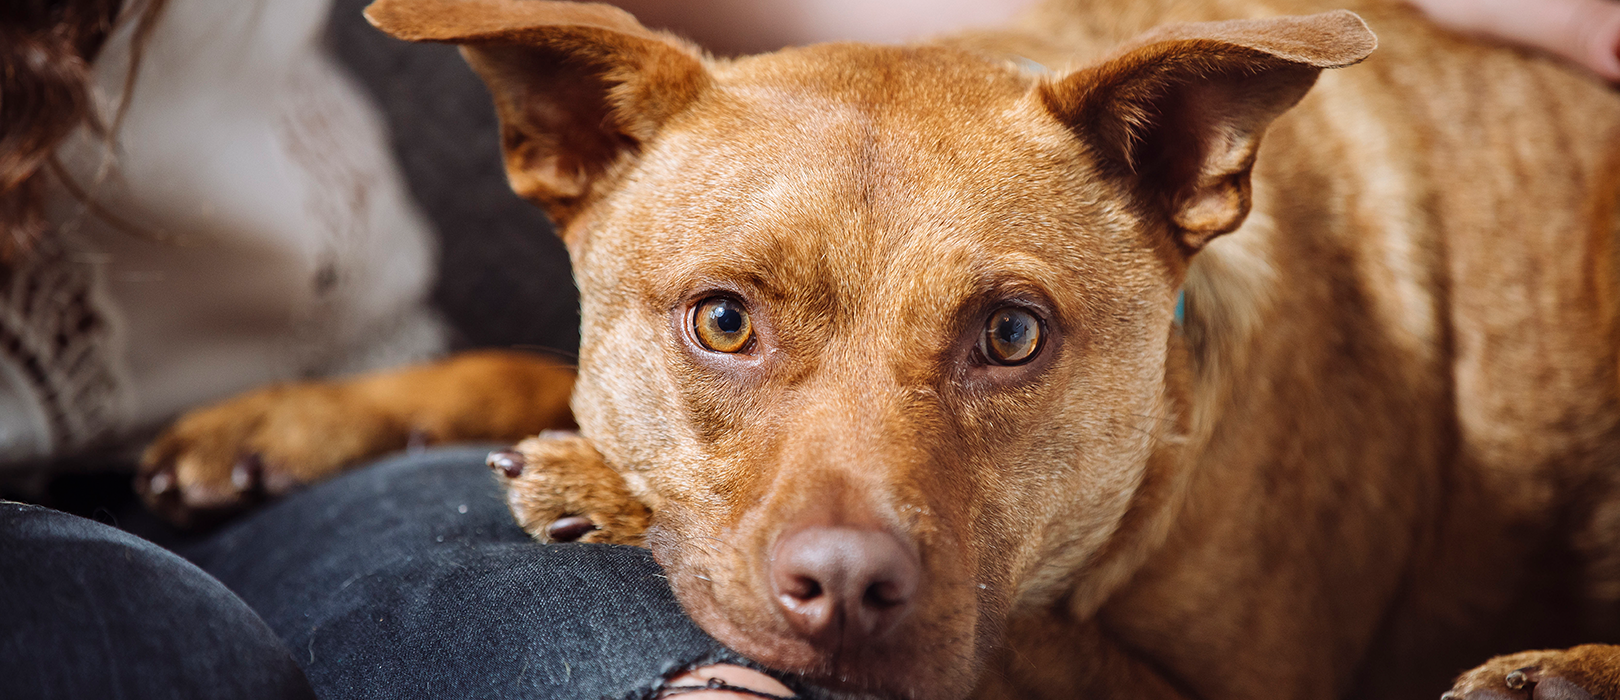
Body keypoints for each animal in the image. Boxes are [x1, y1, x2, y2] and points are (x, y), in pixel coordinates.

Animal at [145, 0, 1620, 696]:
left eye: (1012, 336)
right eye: (723, 321)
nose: (847, 590)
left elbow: (1019, 642)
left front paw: (604, 490)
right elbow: (517, 365)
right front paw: (294, 418)